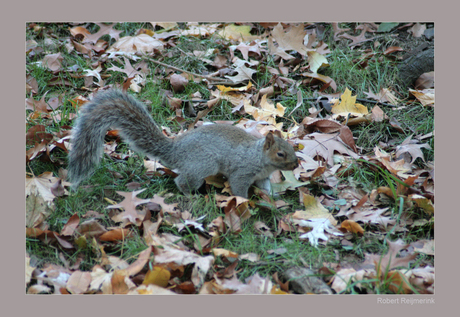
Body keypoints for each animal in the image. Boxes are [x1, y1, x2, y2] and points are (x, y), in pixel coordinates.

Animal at [67, 89, 298, 198]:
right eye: (280, 154)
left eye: (292, 148)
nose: (296, 164)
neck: (260, 158)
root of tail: (176, 149)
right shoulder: (242, 172)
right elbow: (238, 187)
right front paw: (245, 202)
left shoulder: (262, 177)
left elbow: (265, 187)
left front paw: (272, 198)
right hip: (203, 165)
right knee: (182, 182)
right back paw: (191, 196)